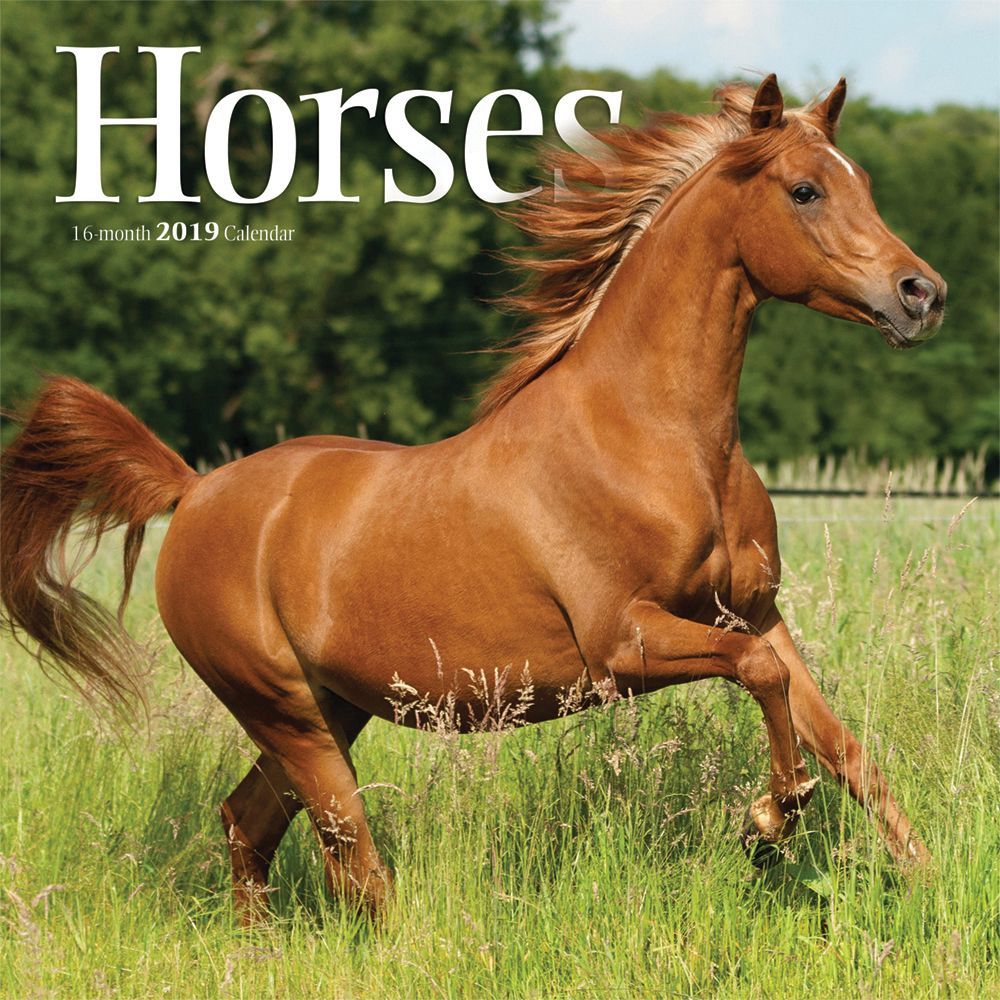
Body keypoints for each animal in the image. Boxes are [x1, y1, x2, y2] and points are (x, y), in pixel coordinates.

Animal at [0, 75, 946, 925]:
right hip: (287, 713)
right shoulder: (624, 643)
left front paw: (924, 881)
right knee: (355, 864)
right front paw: (768, 820)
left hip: (328, 709)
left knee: (250, 825)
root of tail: (194, 490)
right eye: (805, 190)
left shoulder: (756, 613)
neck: (656, 438)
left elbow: (844, 747)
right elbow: (760, 684)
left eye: (863, 181)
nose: (923, 294)